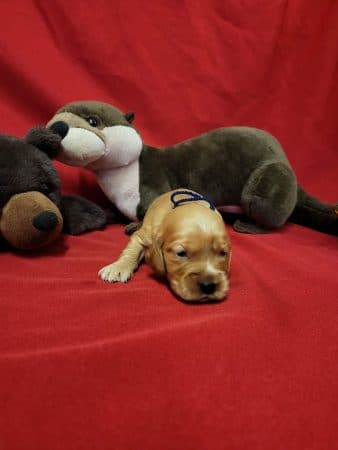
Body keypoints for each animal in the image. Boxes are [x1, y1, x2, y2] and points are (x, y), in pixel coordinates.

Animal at [98, 190, 232, 302]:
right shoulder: (143, 235)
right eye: (181, 253)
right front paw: (118, 268)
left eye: (223, 253)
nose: (208, 286)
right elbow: (131, 251)